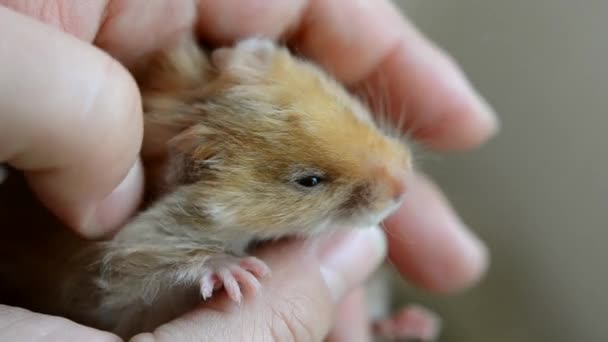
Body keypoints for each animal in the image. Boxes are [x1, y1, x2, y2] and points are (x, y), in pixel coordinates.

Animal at [0, 36, 414, 336]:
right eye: (308, 181)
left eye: (347, 108)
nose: (403, 186)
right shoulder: (123, 273)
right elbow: (158, 266)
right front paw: (241, 274)